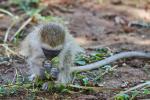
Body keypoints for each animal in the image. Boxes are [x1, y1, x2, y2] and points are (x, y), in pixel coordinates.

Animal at [19, 22, 150, 84]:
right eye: (47, 51)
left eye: (56, 52)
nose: (50, 58)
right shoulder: (32, 43)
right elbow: (33, 59)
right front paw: (44, 63)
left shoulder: (67, 47)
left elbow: (65, 62)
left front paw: (55, 68)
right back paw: (39, 77)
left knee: (66, 66)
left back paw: (58, 83)